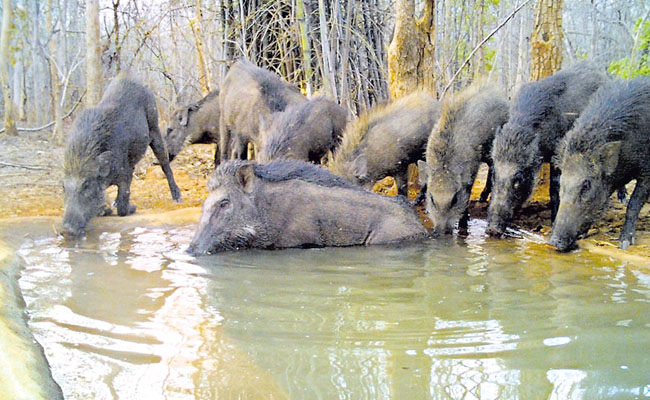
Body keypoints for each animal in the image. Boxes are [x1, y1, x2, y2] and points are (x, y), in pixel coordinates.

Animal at [61, 77, 182, 236]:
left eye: (86, 184)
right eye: (63, 187)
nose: (65, 230)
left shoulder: (124, 175)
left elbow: (122, 209)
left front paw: (132, 208)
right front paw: (107, 209)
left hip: (154, 127)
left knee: (165, 164)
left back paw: (177, 198)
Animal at [417, 85, 509, 235]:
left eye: (454, 198)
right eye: (431, 198)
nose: (441, 232)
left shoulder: (471, 173)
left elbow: (467, 196)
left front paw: (463, 225)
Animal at [549, 78, 650, 251]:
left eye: (586, 185)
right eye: (562, 183)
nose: (554, 242)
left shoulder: (647, 171)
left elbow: (634, 204)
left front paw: (624, 244)